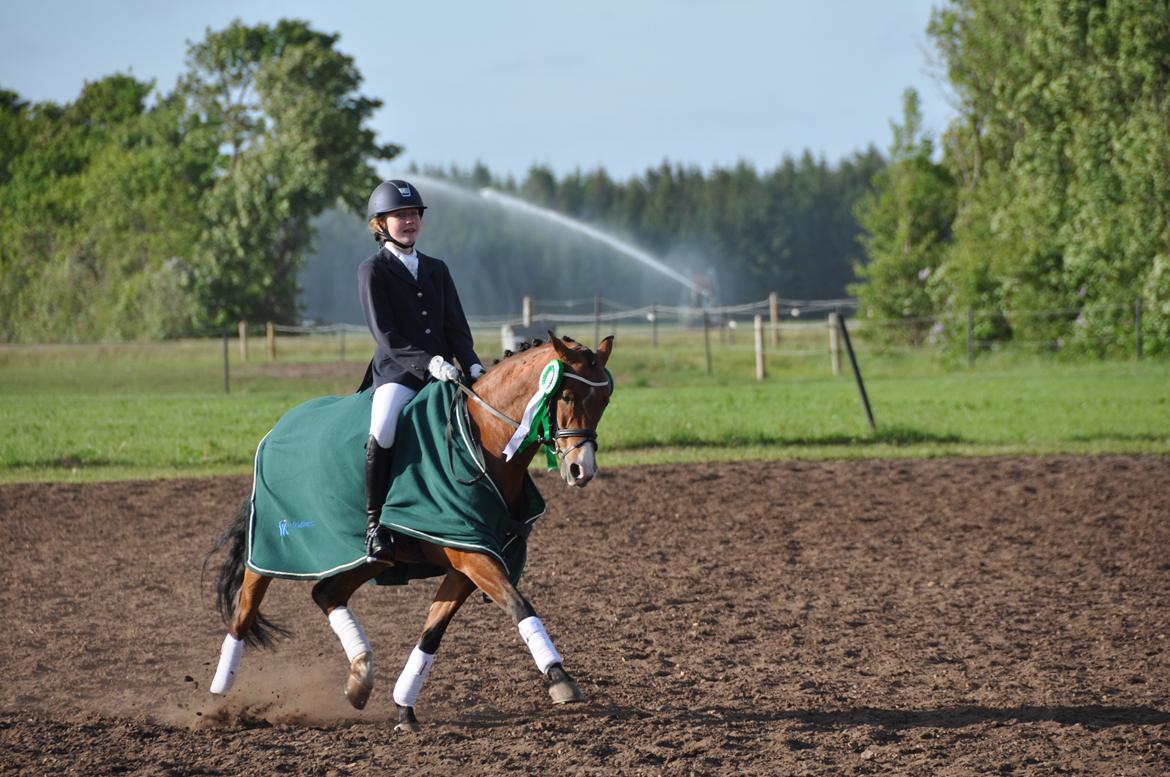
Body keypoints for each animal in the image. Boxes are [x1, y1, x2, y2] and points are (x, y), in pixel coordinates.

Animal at [205, 333, 614, 732]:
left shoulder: (467, 559)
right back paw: (218, 700)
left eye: (605, 400)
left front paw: (404, 707)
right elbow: (519, 604)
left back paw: (361, 675)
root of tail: (277, 429)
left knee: (326, 593)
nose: (581, 469)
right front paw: (559, 677)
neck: (479, 443)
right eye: (566, 395)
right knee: (244, 612)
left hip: (372, 559)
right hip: (270, 551)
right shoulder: (473, 555)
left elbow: (431, 633)